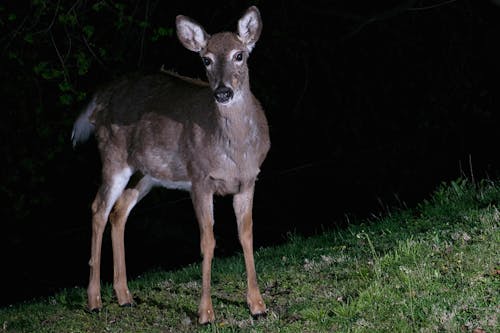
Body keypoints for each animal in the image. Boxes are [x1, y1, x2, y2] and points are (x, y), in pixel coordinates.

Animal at [70, 5, 270, 322]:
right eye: (206, 59)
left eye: (240, 55)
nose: (223, 92)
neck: (235, 153)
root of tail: (99, 96)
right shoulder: (199, 179)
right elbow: (208, 241)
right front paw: (205, 313)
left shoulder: (248, 180)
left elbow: (247, 235)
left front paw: (257, 305)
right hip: (114, 155)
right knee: (98, 208)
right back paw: (94, 300)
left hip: (147, 173)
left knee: (119, 211)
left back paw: (124, 296)